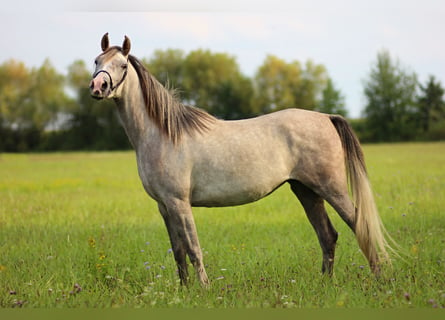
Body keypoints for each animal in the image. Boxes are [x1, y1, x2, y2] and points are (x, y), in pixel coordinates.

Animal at [89, 33, 388, 286]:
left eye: (122, 65)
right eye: (96, 61)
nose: (97, 87)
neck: (163, 134)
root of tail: (326, 117)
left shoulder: (179, 202)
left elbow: (193, 248)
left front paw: (204, 289)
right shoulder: (164, 206)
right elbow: (178, 251)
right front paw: (184, 290)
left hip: (331, 188)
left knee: (359, 226)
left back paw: (380, 279)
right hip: (306, 190)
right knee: (327, 235)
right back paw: (325, 283)